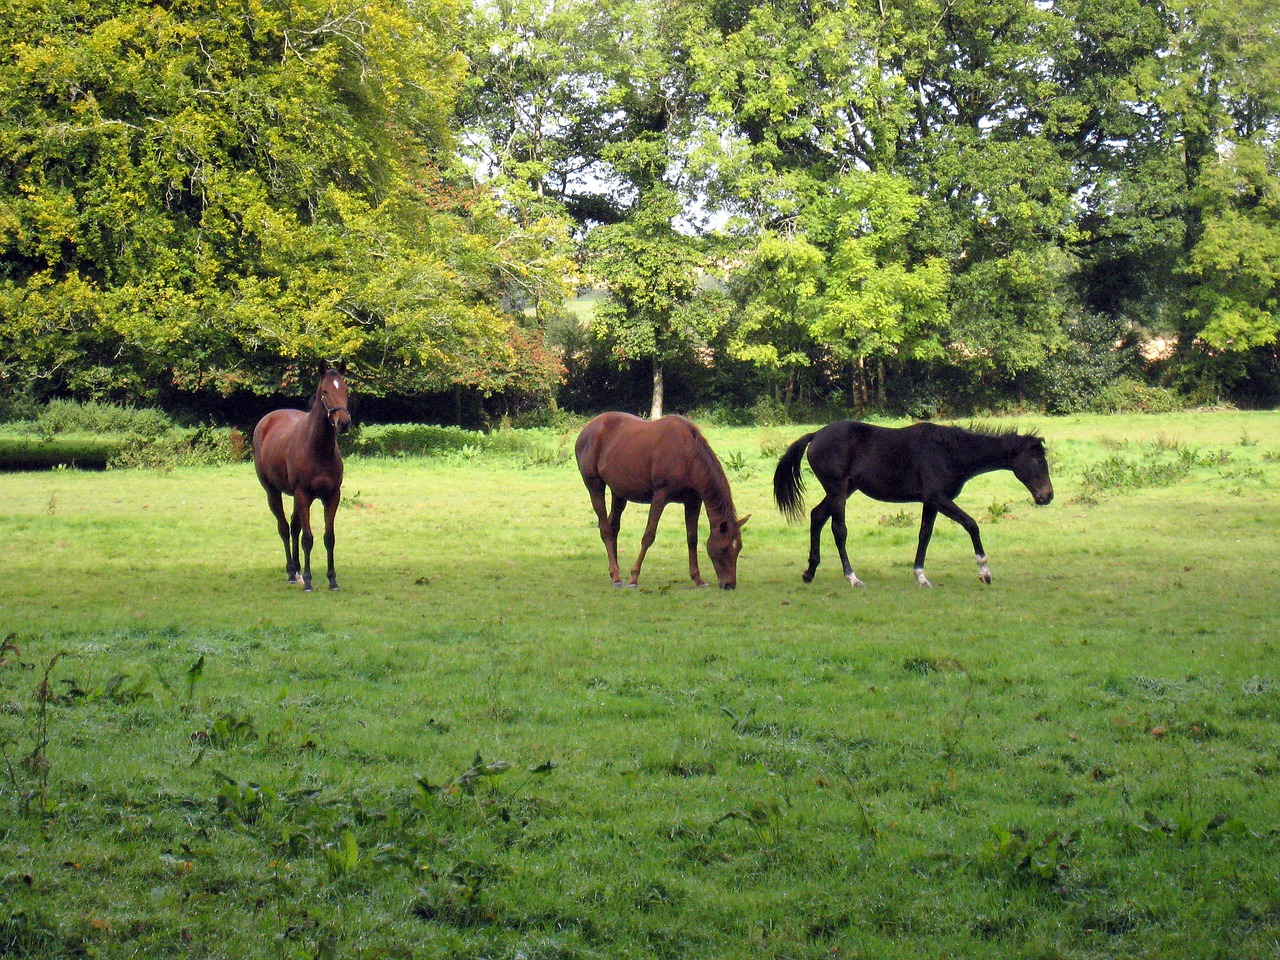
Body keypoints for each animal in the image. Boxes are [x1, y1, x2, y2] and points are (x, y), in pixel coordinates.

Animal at [252, 363, 353, 593]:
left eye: (345, 390)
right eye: (325, 391)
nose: (343, 423)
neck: (318, 449)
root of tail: (266, 421)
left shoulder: (332, 496)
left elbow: (329, 538)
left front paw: (332, 580)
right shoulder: (303, 495)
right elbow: (308, 538)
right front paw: (308, 581)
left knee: (293, 526)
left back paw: (297, 570)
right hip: (273, 492)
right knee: (283, 528)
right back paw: (292, 573)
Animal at [573, 412, 747, 591]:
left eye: (739, 547)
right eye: (723, 548)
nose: (729, 584)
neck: (687, 455)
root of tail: (587, 429)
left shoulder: (693, 501)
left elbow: (692, 538)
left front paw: (697, 578)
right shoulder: (660, 496)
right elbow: (649, 535)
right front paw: (634, 577)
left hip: (618, 493)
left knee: (613, 527)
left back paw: (615, 573)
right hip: (595, 485)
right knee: (605, 529)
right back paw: (616, 576)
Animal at [773, 419, 1054, 586]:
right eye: (1037, 460)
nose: (1047, 495)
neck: (950, 452)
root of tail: (816, 434)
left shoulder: (930, 502)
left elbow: (924, 534)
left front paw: (920, 575)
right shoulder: (938, 498)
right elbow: (971, 524)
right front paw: (984, 572)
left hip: (842, 491)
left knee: (817, 516)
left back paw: (809, 572)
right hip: (838, 491)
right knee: (838, 530)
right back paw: (852, 577)